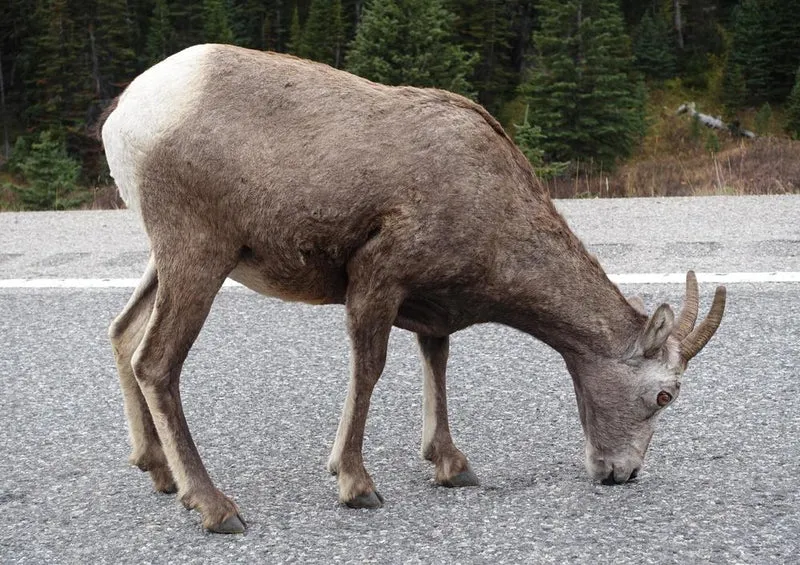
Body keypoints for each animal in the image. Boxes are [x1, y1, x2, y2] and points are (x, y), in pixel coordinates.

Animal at [100, 44, 726, 534]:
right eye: (665, 395)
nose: (622, 474)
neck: (492, 207)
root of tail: (125, 116)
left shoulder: (430, 308)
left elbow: (437, 362)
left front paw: (451, 467)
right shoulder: (378, 278)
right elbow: (369, 370)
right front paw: (356, 485)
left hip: (167, 260)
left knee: (123, 334)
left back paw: (159, 473)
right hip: (199, 254)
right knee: (156, 361)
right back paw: (216, 508)